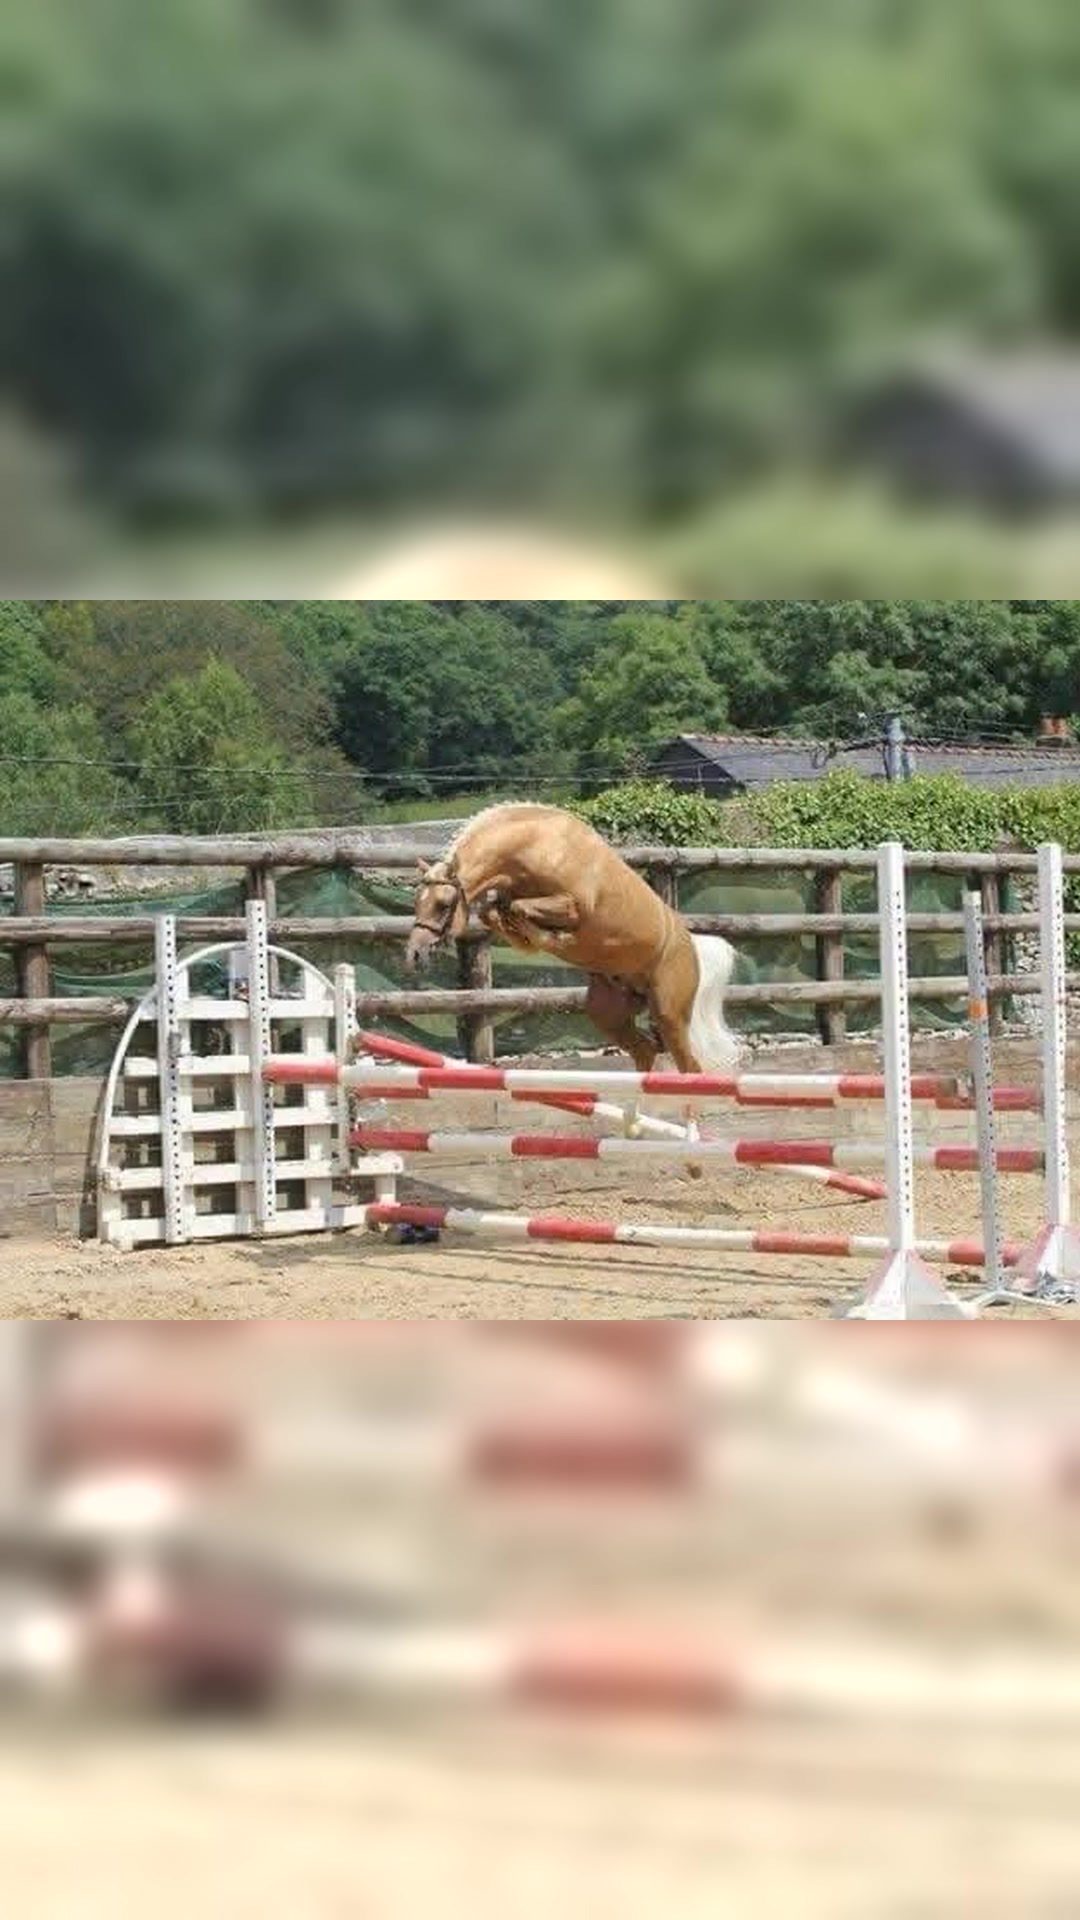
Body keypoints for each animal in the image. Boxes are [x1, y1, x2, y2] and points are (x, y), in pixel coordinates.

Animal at [405, 803, 738, 1074]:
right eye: (417, 902)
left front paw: (554, 937)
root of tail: (691, 947)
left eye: (443, 904)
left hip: (669, 1013)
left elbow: (524, 910)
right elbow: (498, 912)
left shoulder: (573, 906)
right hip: (608, 1012)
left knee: (689, 1067)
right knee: (645, 1052)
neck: (537, 846)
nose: (414, 954)